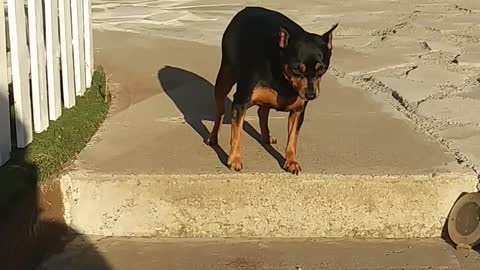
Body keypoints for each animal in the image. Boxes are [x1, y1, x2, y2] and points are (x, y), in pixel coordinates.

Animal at [206, 6, 338, 175]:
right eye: (297, 69)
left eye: (322, 69)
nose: (311, 95)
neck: (284, 77)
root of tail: (247, 8)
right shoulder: (240, 103)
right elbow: (237, 134)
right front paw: (234, 160)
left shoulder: (298, 111)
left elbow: (292, 139)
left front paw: (291, 161)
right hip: (225, 76)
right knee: (220, 110)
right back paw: (213, 137)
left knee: (262, 111)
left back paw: (266, 136)